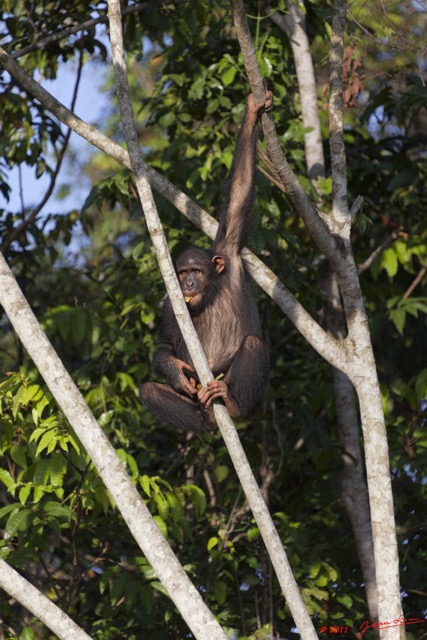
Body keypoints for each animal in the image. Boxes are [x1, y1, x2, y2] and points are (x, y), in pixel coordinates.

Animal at [141, 91, 274, 430]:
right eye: (183, 273)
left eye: (197, 272)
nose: (188, 282)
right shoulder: (169, 303)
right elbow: (164, 345)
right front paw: (176, 372)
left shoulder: (229, 248)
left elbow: (240, 191)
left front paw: (252, 113)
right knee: (149, 390)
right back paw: (207, 417)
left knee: (253, 344)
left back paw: (233, 406)